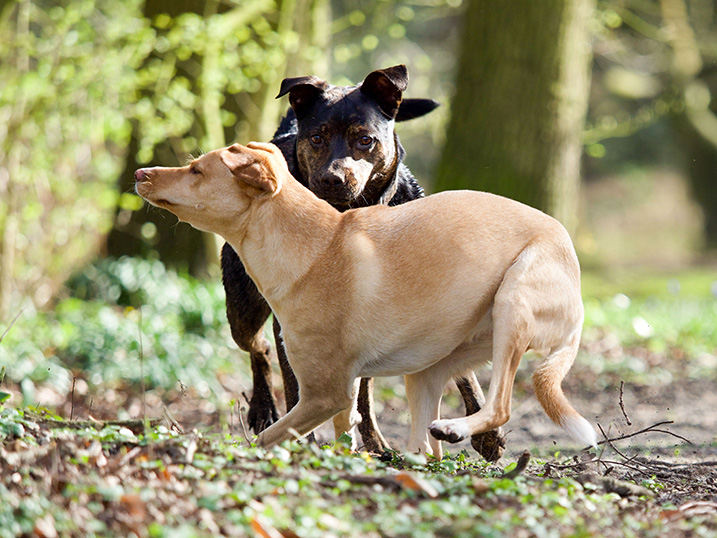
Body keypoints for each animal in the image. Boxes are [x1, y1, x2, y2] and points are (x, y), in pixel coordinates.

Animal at [134, 140, 600, 454]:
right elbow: (346, 428)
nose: (140, 173)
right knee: (426, 447)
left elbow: (268, 438)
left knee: (500, 405)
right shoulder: (340, 391)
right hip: (428, 369)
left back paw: (457, 429)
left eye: (196, 170)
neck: (313, 248)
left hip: (512, 302)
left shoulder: (325, 393)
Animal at [218, 62, 504, 456]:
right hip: (243, 307)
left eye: (365, 139)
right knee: (257, 347)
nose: (332, 178)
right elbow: (295, 387)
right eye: (317, 138)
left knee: (364, 389)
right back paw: (264, 409)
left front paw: (486, 432)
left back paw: (374, 442)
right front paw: (299, 440)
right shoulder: (292, 324)